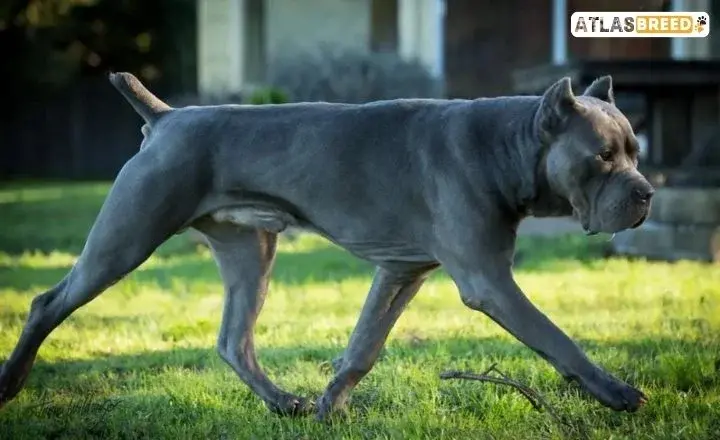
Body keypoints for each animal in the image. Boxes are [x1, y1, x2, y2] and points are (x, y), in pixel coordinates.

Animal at [0, 72, 652, 420]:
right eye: (602, 156)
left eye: (636, 151)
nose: (646, 192)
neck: (507, 146)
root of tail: (164, 117)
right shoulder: (489, 281)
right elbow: (558, 338)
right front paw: (616, 393)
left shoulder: (400, 271)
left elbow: (364, 345)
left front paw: (329, 405)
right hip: (125, 239)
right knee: (46, 303)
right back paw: (11, 383)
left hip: (250, 253)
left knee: (233, 341)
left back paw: (282, 402)